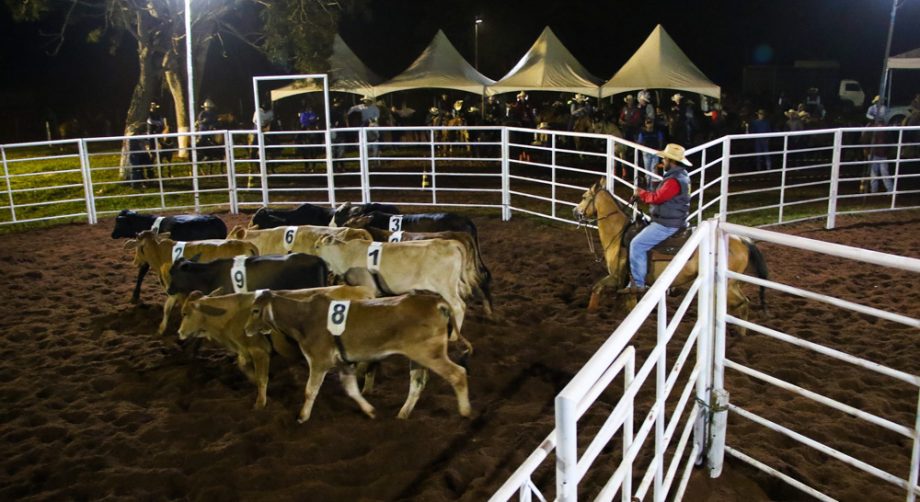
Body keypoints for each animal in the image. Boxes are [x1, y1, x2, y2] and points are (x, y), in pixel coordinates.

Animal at [241, 290, 470, 424]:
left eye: (255, 311)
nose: (246, 330)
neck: (303, 318)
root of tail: (436, 302)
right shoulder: (343, 363)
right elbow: (351, 390)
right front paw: (370, 411)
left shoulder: (319, 360)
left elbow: (310, 390)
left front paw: (302, 417)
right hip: (418, 357)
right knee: (417, 383)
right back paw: (402, 415)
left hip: (429, 353)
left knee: (458, 374)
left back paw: (465, 412)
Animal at [572, 178, 764, 328]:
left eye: (584, 197)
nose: (575, 211)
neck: (619, 234)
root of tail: (741, 240)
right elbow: (600, 290)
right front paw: (590, 314)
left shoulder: (618, 277)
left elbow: (599, 288)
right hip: (732, 283)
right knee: (743, 303)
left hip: (726, 285)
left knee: (742, 303)